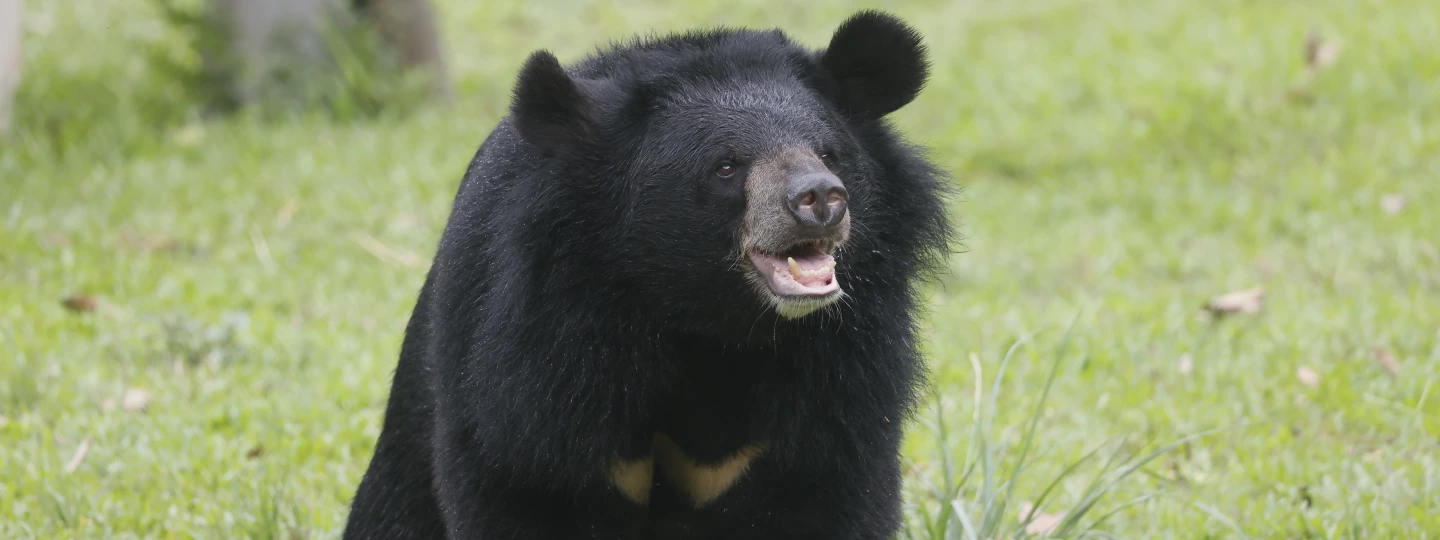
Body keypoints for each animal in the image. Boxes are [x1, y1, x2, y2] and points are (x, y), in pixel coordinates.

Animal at [343, 10, 953, 539]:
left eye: (829, 153)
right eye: (726, 165)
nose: (820, 198)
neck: (704, 321)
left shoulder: (840, 382)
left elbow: (826, 489)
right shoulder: (536, 374)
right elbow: (526, 489)